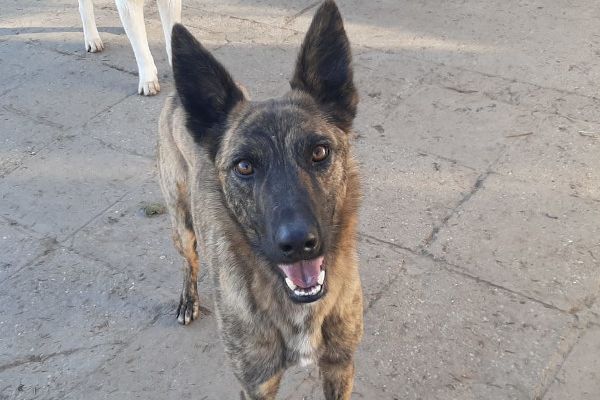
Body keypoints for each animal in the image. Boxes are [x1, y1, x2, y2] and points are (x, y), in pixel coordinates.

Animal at [157, 1, 363, 398]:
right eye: (244, 166)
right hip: (181, 224)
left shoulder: (340, 368)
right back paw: (188, 300)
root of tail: (177, 92)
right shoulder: (257, 385)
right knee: (189, 261)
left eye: (319, 152)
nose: (297, 244)